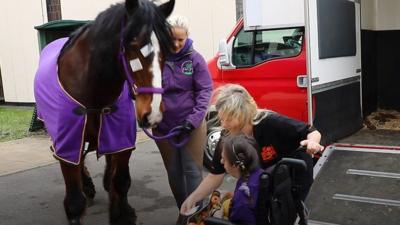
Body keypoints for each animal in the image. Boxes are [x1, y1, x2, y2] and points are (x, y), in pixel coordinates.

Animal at [35, 0, 176, 225]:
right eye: (133, 46)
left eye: (167, 50)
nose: (152, 113)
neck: (93, 91)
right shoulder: (68, 141)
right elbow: (75, 200)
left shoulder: (120, 139)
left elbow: (121, 181)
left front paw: (122, 212)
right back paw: (87, 185)